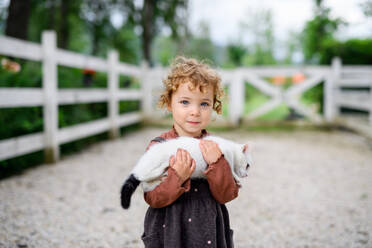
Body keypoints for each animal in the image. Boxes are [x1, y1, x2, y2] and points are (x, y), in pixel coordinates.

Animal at [120, 136, 253, 209]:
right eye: (248, 165)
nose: (246, 175)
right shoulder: (225, 153)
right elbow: (230, 167)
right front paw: (236, 177)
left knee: (146, 185)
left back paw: (161, 179)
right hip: (154, 164)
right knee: (143, 179)